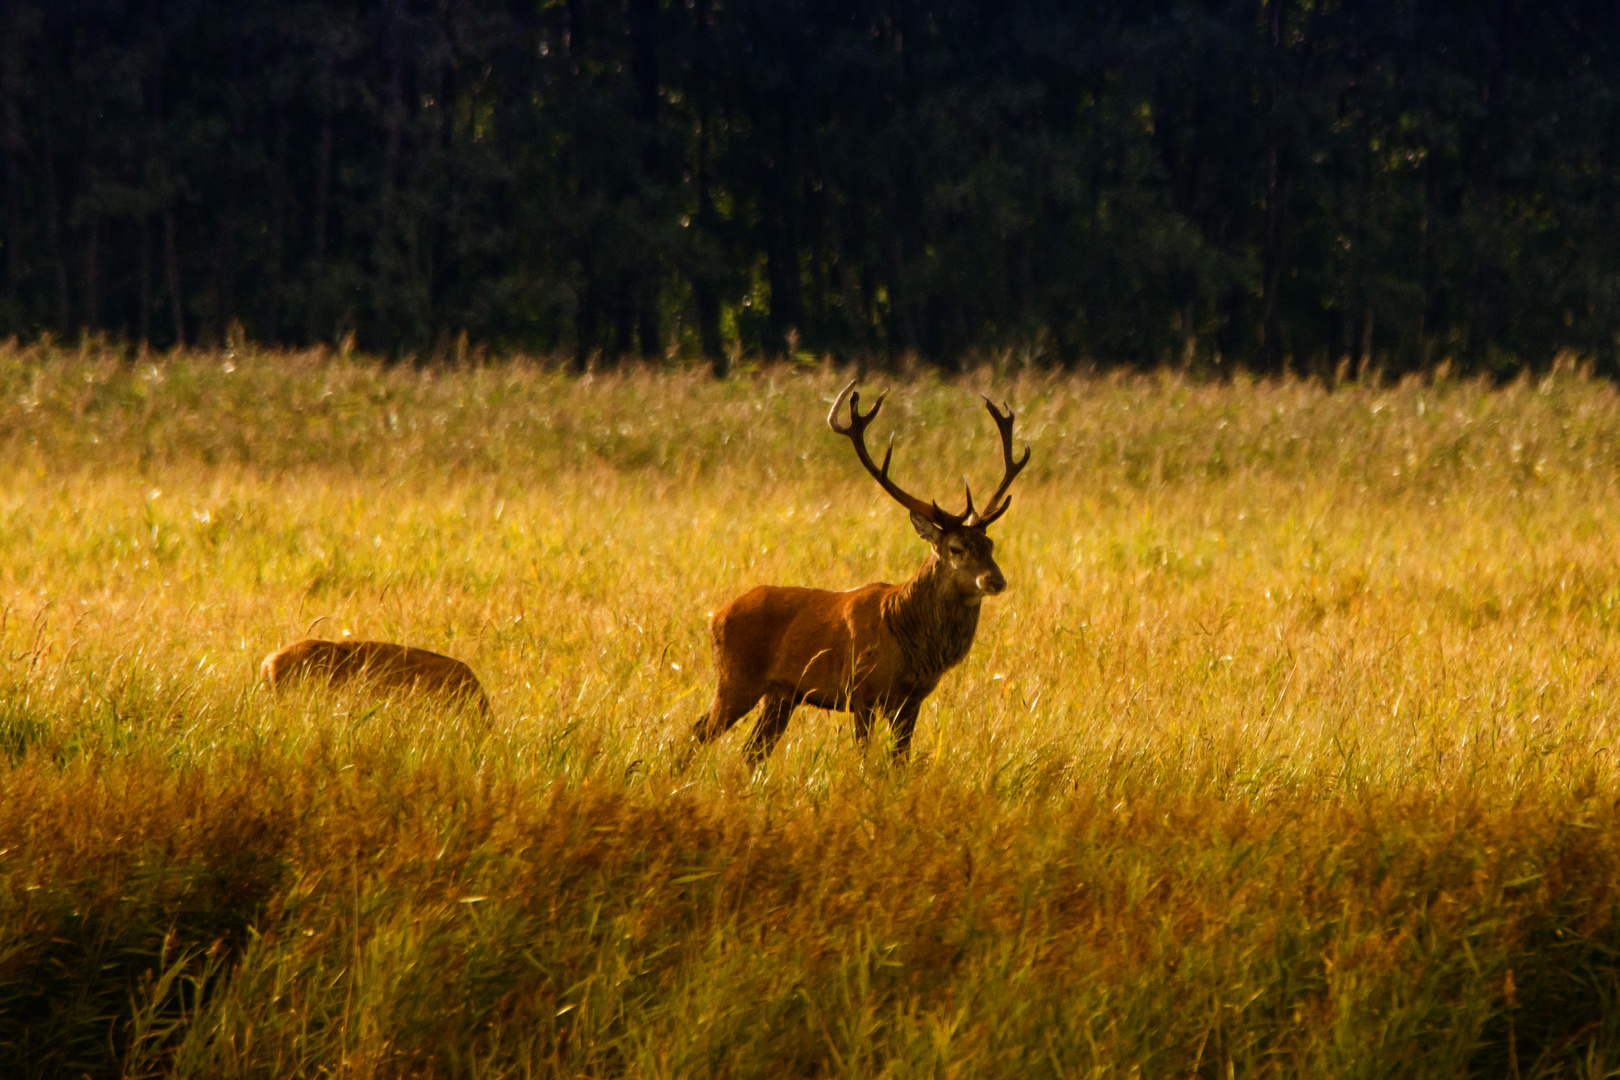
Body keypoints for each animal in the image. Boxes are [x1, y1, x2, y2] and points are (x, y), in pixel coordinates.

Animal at [693, 375, 1023, 764]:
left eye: (990, 545)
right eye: (955, 549)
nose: (995, 579)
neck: (910, 639)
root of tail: (715, 616)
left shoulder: (911, 700)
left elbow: (900, 761)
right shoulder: (861, 691)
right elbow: (865, 755)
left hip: (780, 694)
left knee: (751, 751)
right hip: (735, 679)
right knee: (697, 733)